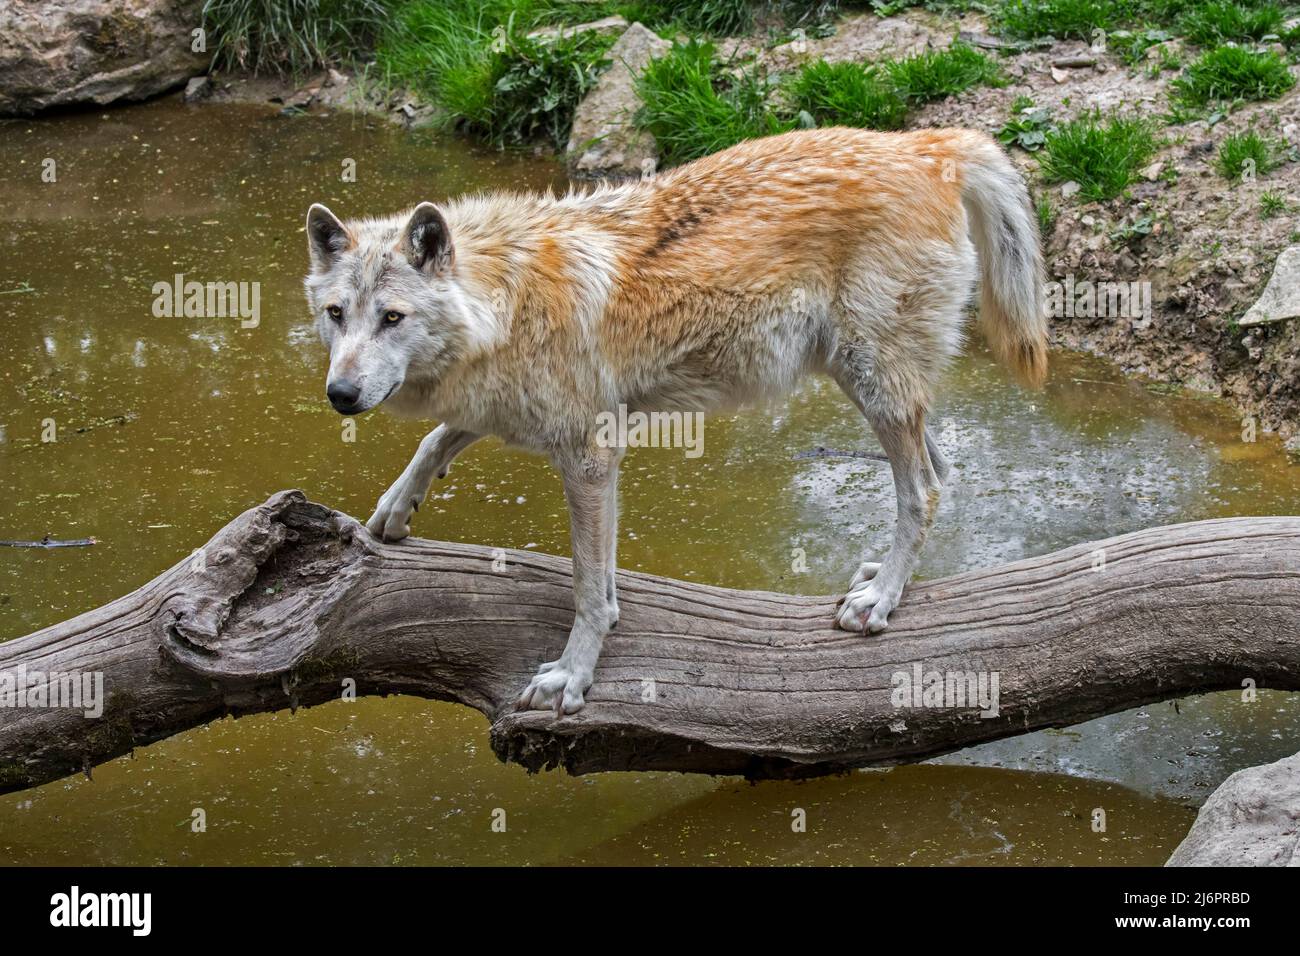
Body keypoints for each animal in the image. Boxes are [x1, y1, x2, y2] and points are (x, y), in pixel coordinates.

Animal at [302, 126, 1047, 715]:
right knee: (939, 473)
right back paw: (884, 580)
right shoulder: (540, 424)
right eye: (337, 315)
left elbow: (586, 590)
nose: (340, 394)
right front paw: (396, 509)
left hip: (873, 384)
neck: (505, 300)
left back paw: (880, 601)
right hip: (873, 388)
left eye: (392, 318)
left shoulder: (589, 455)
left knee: (924, 489)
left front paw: (572, 677)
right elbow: (438, 439)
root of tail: (927, 142)